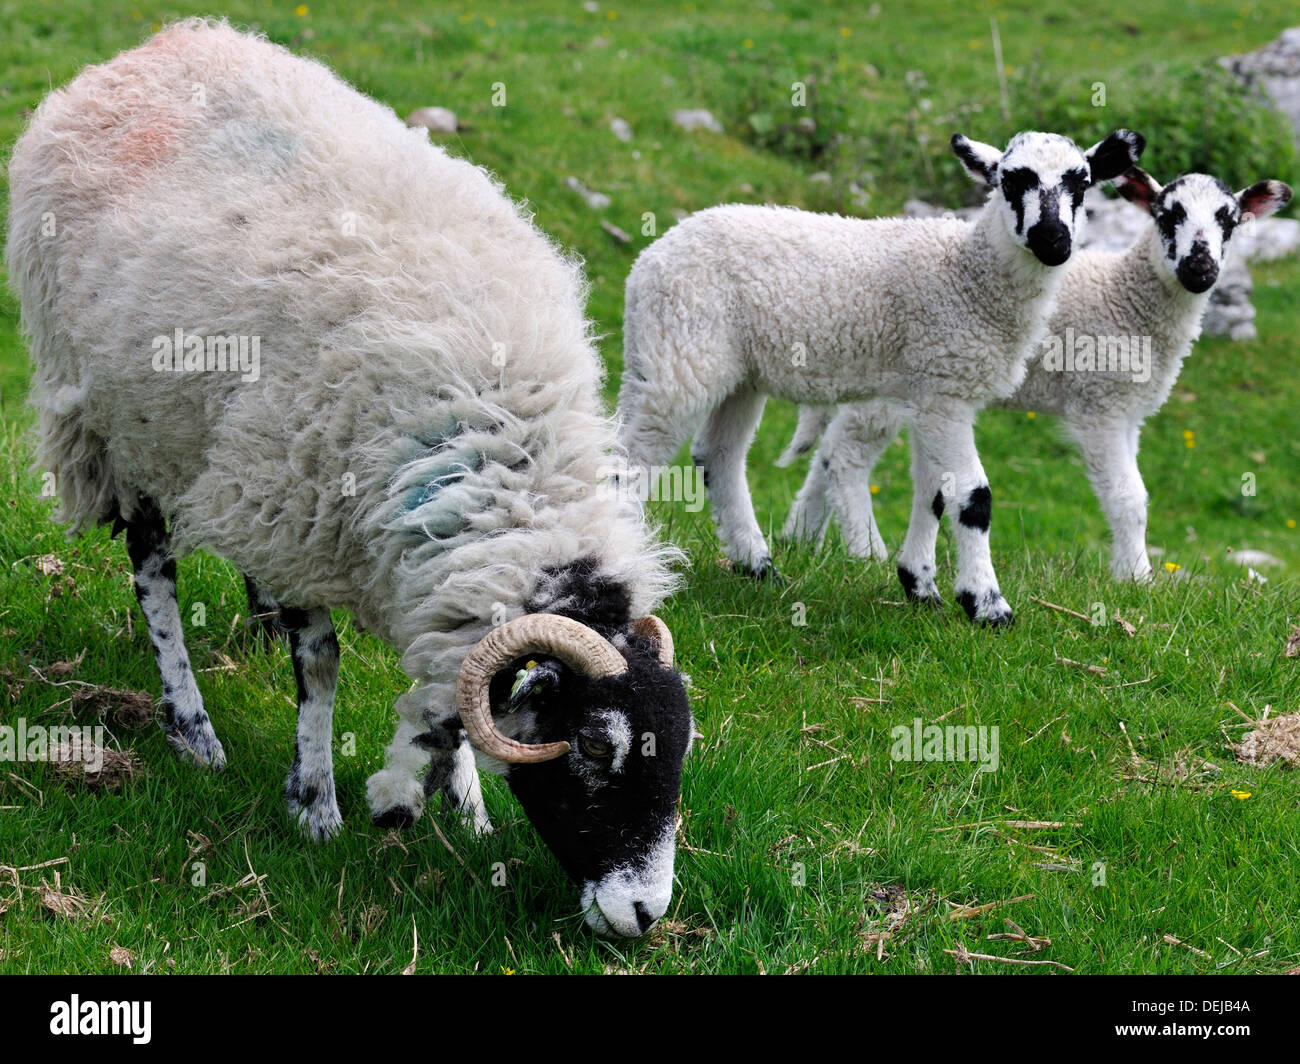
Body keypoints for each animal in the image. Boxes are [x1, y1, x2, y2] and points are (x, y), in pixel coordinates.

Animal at [10, 18, 696, 936]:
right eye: (592, 745)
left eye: (681, 747)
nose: (645, 914)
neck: (500, 445)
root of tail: (163, 43)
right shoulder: (295, 503)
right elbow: (325, 665)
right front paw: (317, 806)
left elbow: (455, 685)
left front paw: (466, 810)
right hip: (121, 417)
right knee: (152, 564)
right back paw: (192, 726)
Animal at [613, 126, 1144, 621]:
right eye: (1011, 180)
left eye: (1082, 183)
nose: (1053, 242)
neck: (969, 275)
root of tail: (650, 258)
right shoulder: (945, 390)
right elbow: (974, 498)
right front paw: (987, 605)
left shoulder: (933, 391)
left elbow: (935, 495)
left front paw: (920, 586)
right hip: (675, 355)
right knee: (629, 461)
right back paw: (627, 566)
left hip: (737, 373)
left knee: (719, 455)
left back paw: (757, 565)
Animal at [780, 167, 1289, 580]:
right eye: (1167, 215)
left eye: (1229, 221)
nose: (1199, 268)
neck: (1126, 298)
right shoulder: (1100, 403)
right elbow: (1127, 498)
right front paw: (1137, 580)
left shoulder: (1128, 412)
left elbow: (1138, 498)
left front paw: (1134, 572)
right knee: (845, 456)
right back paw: (866, 552)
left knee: (827, 453)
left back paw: (800, 539)